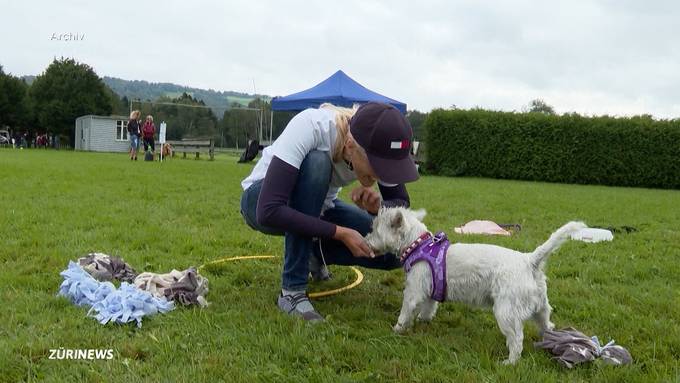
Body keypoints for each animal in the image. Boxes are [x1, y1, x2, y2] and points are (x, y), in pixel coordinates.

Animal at [364, 207, 588, 366]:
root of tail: (529, 261)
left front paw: (397, 329)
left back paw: (509, 362)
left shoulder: (413, 290)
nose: (365, 241)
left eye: (375, 229)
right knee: (547, 325)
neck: (417, 245)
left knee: (517, 339)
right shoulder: (429, 291)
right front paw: (423, 321)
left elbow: (405, 311)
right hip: (540, 307)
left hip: (506, 311)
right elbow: (428, 308)